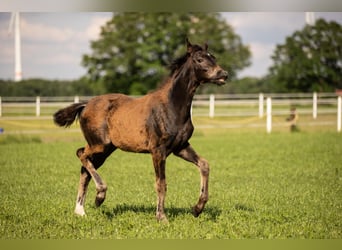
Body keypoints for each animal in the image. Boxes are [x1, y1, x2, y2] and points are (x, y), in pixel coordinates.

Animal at [53, 38, 228, 222]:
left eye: (213, 57)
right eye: (199, 59)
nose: (223, 74)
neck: (171, 106)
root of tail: (85, 105)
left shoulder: (181, 147)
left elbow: (204, 164)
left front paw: (197, 208)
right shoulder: (158, 151)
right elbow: (161, 183)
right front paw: (161, 217)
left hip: (106, 149)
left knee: (85, 169)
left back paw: (80, 210)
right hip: (99, 144)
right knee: (81, 153)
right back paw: (99, 196)